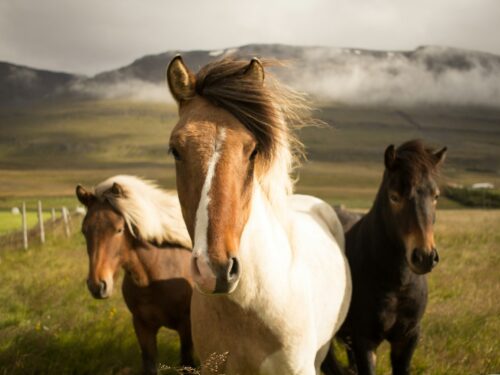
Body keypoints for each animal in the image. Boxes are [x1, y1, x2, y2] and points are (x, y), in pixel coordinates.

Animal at [75, 175, 194, 374]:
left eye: (119, 229)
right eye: (84, 230)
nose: (97, 285)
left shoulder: (186, 327)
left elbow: (188, 363)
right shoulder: (142, 327)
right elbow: (150, 364)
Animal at [328, 140, 446, 375]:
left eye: (436, 196)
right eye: (394, 197)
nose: (425, 256)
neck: (397, 283)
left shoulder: (408, 338)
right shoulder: (364, 340)